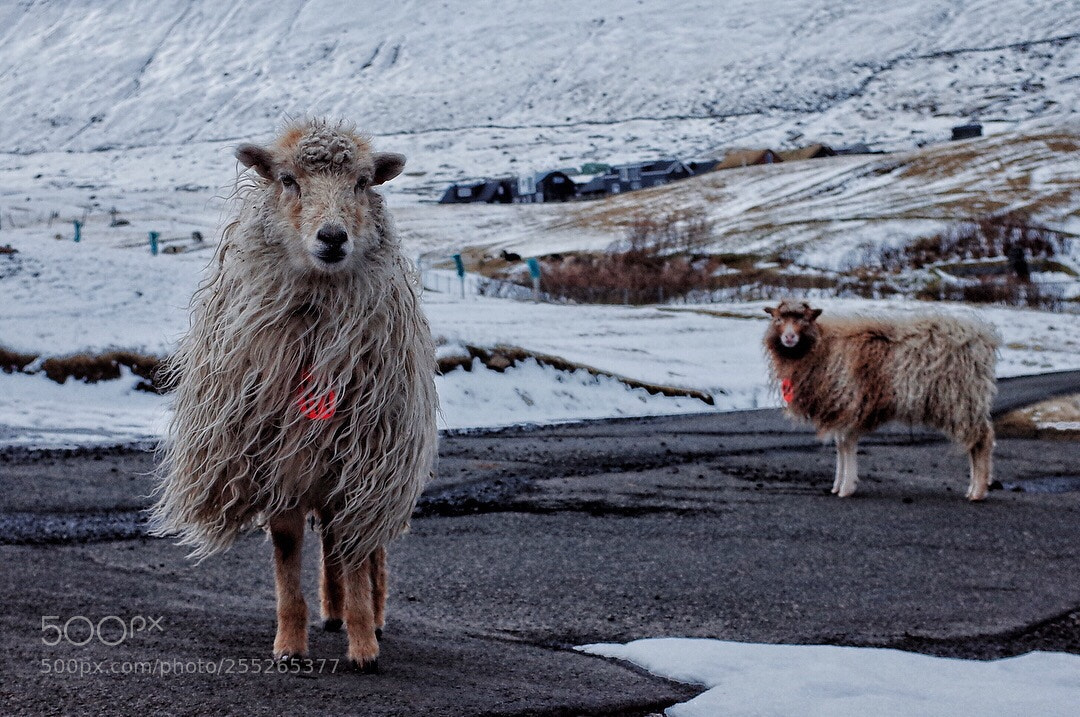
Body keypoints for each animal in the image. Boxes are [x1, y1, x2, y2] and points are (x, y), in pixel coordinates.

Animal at [151, 118, 438, 671]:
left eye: (363, 182)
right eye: (287, 180)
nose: (333, 237)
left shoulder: (362, 459)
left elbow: (357, 552)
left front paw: (364, 646)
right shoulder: (275, 456)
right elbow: (288, 551)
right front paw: (289, 645)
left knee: (366, 546)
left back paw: (370, 614)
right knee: (330, 539)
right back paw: (332, 611)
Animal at [762, 300, 999, 501]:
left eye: (804, 319)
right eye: (778, 319)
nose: (789, 338)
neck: (821, 347)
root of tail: (981, 338)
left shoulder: (848, 402)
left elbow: (846, 446)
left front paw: (846, 488)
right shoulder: (841, 408)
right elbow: (840, 446)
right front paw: (837, 485)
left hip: (961, 399)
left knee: (982, 440)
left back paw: (978, 492)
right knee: (976, 442)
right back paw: (973, 489)